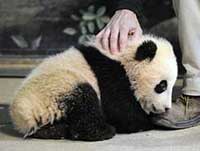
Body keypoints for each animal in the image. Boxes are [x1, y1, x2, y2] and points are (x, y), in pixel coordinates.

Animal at [10, 34, 177, 141]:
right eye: (162, 85)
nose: (166, 108)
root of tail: (21, 116)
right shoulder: (110, 75)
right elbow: (122, 111)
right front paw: (145, 122)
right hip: (56, 88)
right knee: (84, 101)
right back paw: (102, 131)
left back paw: (56, 131)